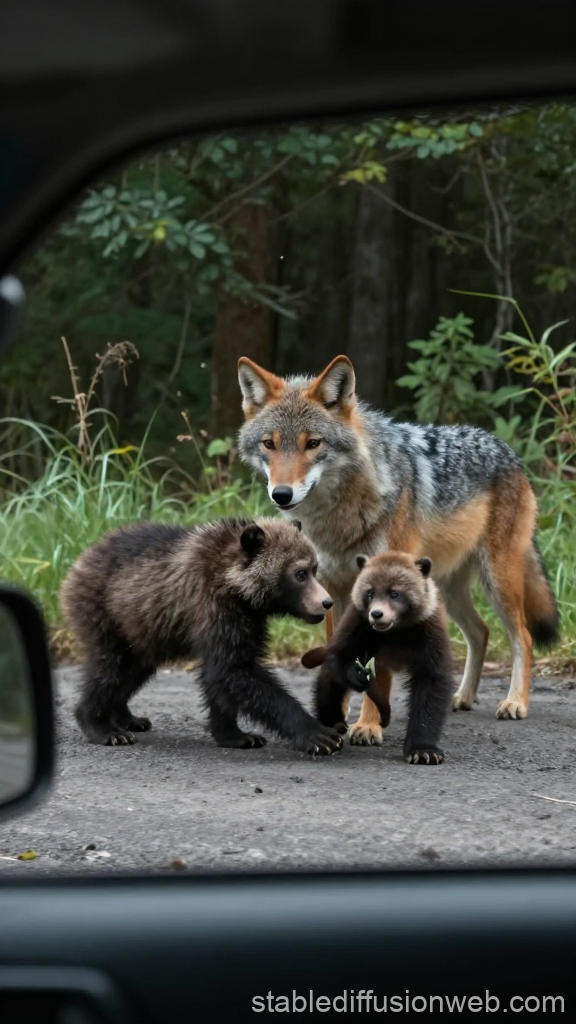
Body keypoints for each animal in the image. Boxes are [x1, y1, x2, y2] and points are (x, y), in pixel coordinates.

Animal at [59, 517, 344, 756]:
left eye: (315, 568)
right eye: (300, 573)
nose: (326, 602)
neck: (237, 588)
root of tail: (80, 560)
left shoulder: (248, 620)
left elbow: (223, 675)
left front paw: (237, 735)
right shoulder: (213, 607)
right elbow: (235, 671)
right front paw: (319, 734)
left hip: (143, 630)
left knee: (134, 670)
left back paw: (128, 718)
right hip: (104, 612)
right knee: (108, 668)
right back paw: (102, 727)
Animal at [301, 551, 454, 764]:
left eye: (395, 593)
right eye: (370, 593)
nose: (377, 614)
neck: (394, 630)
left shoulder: (427, 631)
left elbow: (430, 684)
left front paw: (423, 750)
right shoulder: (359, 625)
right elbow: (341, 658)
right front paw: (356, 674)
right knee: (329, 682)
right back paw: (333, 721)